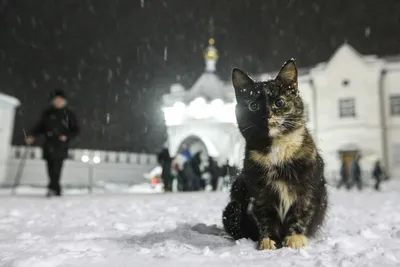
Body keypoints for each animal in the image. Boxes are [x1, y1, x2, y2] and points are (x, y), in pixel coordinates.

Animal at [222, 59, 328, 250]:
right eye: (253, 106)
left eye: (279, 102)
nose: (266, 115)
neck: (277, 150)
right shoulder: (259, 191)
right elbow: (265, 216)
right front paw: (268, 241)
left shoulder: (307, 187)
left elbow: (301, 211)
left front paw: (295, 238)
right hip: (232, 207)